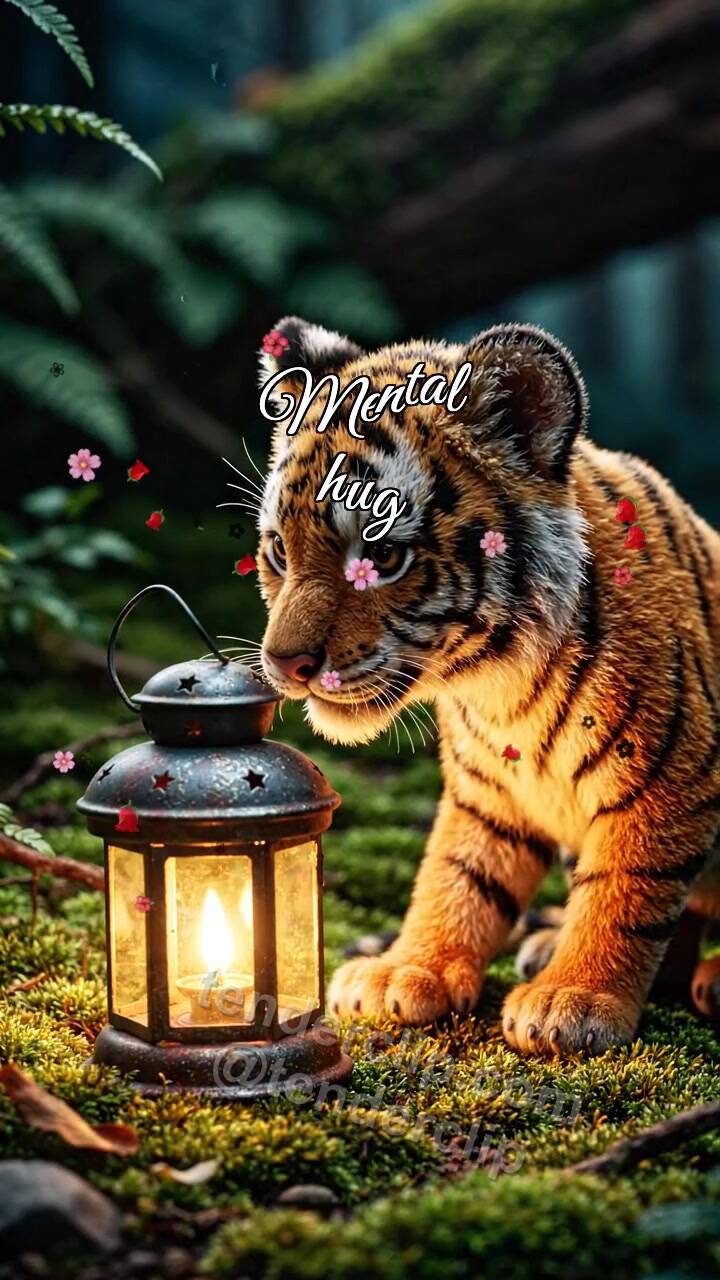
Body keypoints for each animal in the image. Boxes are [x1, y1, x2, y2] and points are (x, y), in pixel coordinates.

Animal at [253, 315, 720, 1056]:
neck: (501, 687)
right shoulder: (487, 792)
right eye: (278, 550)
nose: (284, 664)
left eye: (383, 555)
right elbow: (457, 876)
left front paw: (574, 999)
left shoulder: (668, 782)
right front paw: (406, 970)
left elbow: (623, 891)